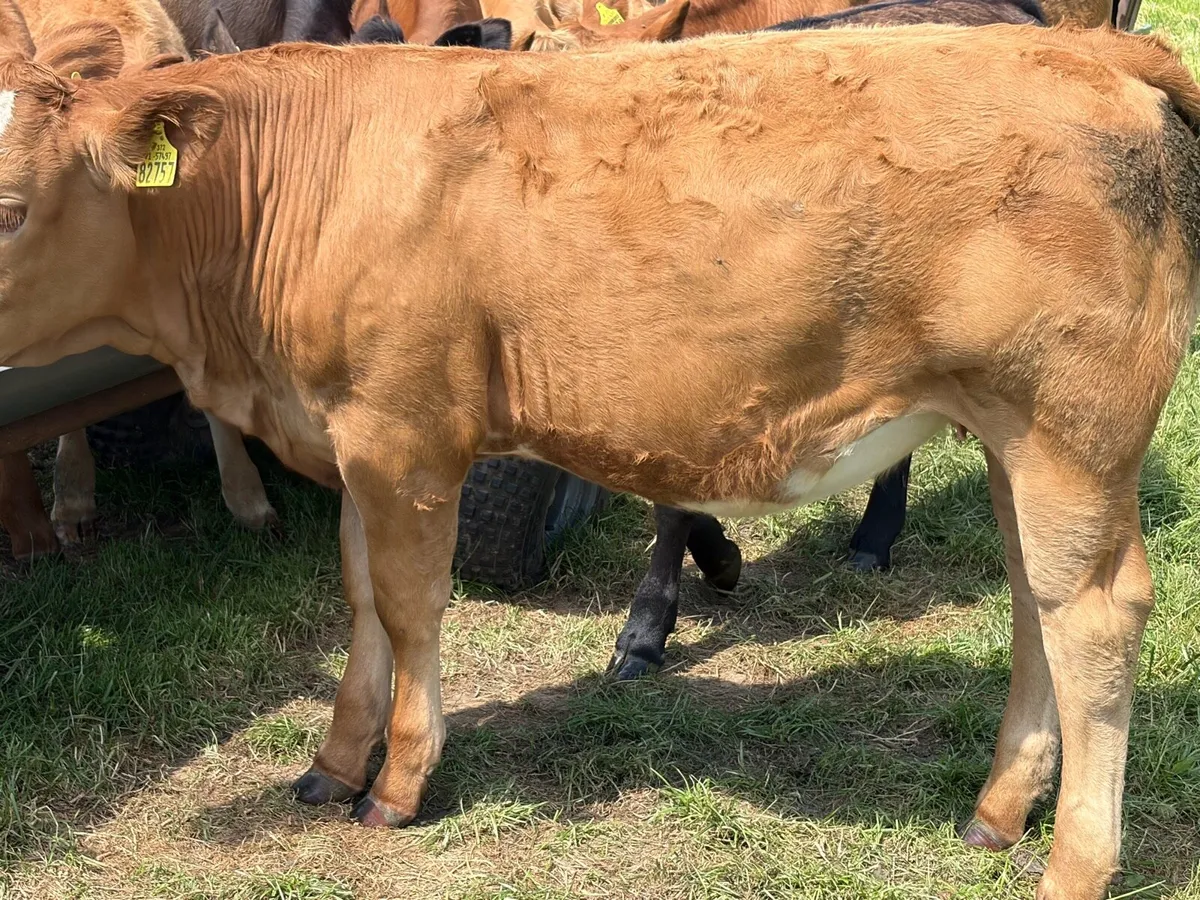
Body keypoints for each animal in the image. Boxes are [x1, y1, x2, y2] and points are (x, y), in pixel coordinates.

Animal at [1, 23, 1198, 900]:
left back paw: (1073, 865)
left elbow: (409, 605)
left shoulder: (406, 435)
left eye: (12, 207)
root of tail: (1092, 49)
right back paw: (996, 812)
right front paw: (334, 763)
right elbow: (358, 597)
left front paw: (399, 779)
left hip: (1068, 430)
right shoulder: (349, 435)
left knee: (1092, 616)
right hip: (1011, 435)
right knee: (1035, 599)